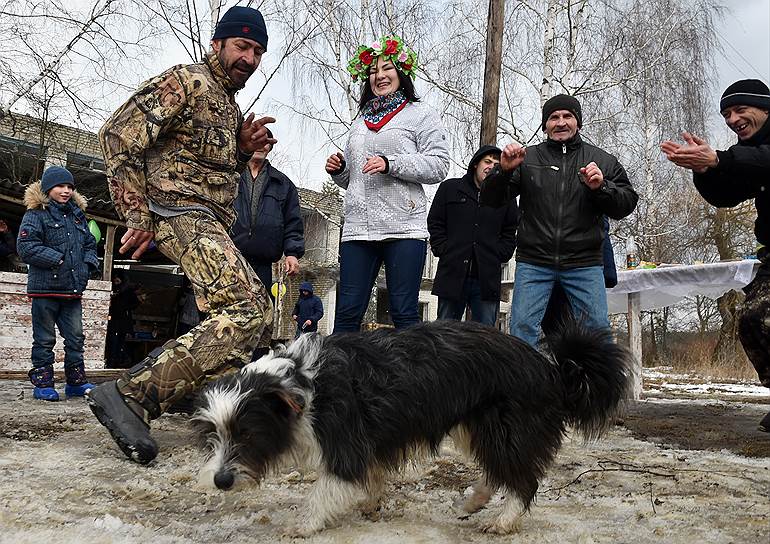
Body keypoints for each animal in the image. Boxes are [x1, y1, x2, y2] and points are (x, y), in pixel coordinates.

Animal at [194, 318, 632, 536]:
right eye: (215, 435)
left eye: (246, 433)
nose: (220, 481)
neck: (299, 381)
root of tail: (552, 369)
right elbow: (370, 477)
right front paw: (371, 501)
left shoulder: (346, 445)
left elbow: (325, 489)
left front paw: (303, 525)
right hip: (475, 426)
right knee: (500, 473)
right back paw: (473, 501)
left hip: (505, 428)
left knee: (523, 480)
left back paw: (502, 521)